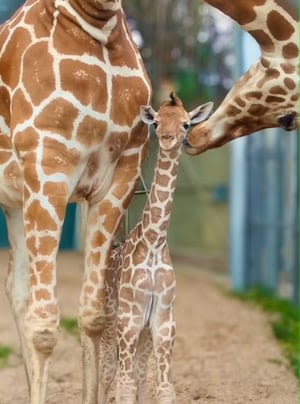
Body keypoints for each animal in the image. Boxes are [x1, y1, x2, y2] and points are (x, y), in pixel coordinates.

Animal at [0, 0, 151, 404]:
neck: (98, 24)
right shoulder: (47, 163)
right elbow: (44, 327)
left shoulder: (120, 174)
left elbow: (93, 314)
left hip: (15, 201)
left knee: (16, 288)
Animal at [101, 92, 213, 404]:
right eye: (156, 123)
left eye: (186, 123)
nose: (167, 138)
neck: (153, 242)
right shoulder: (129, 319)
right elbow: (124, 385)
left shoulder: (163, 320)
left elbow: (162, 387)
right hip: (111, 321)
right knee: (106, 372)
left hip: (143, 333)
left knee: (137, 374)